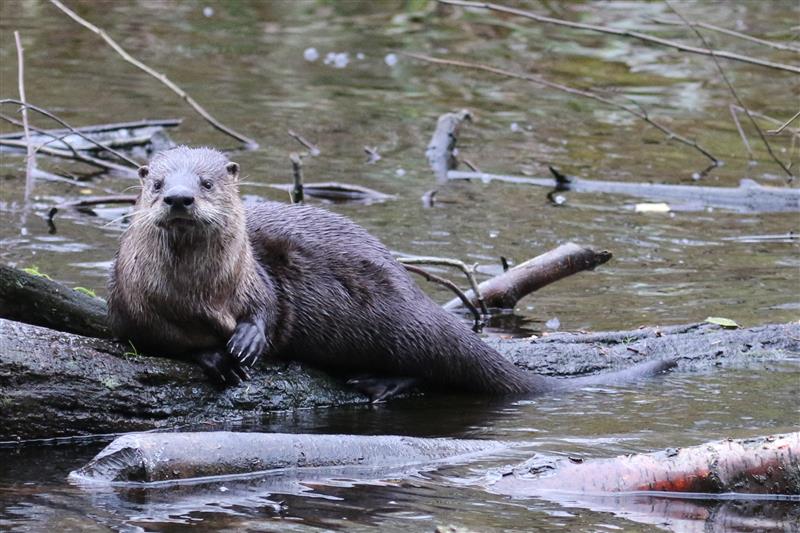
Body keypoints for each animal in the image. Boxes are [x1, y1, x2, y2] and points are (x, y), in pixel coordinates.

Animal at [109, 147, 676, 400]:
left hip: (398, 321)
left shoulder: (256, 278)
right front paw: (212, 356)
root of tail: (418, 297)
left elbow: (267, 308)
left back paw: (377, 382)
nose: (180, 198)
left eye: (205, 183)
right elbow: (157, 340)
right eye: (157, 183)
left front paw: (247, 340)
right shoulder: (132, 303)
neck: (200, 295)